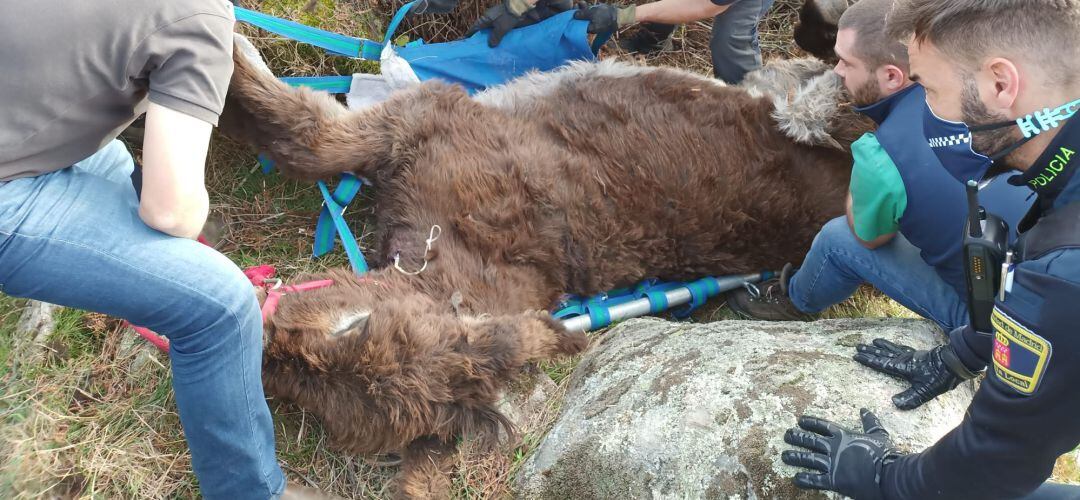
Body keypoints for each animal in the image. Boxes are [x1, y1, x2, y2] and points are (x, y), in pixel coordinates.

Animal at [217, 50, 868, 496]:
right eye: (308, 395)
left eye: (351, 331)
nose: (258, 339)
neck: (453, 254)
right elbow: (306, 143)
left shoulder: (419, 116)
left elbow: (309, 136)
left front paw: (232, 54)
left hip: (808, 121)